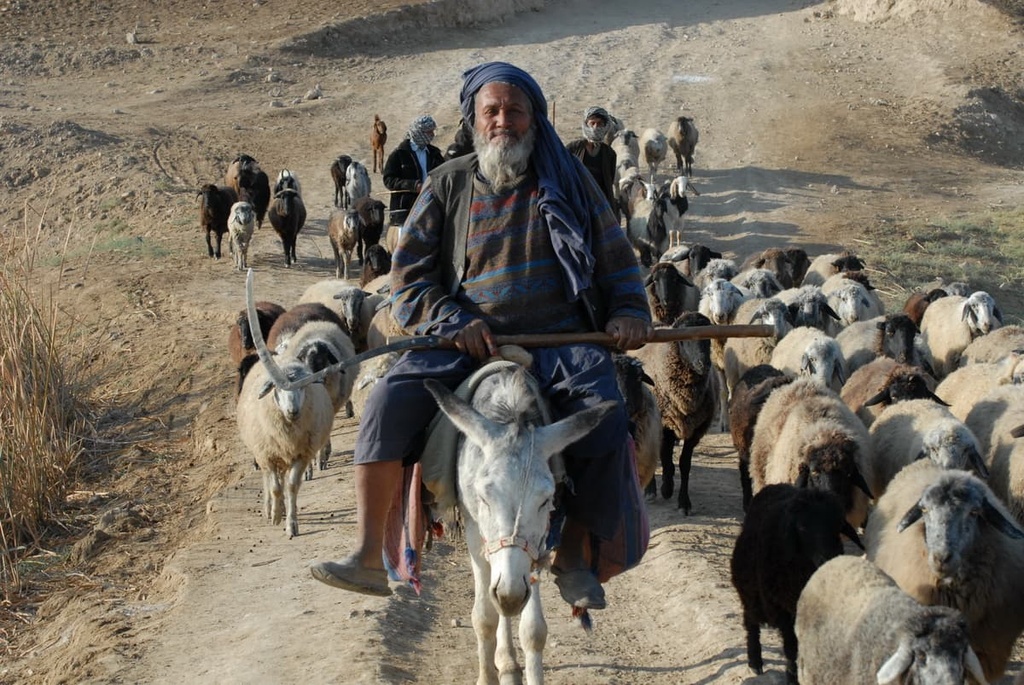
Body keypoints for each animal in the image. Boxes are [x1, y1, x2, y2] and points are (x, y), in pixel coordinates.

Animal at [234, 356, 331, 536]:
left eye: (303, 387)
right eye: (278, 388)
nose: (293, 411)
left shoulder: (301, 455)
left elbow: (291, 487)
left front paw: (291, 524)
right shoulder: (268, 456)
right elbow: (275, 489)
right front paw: (276, 515)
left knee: (282, 479)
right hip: (263, 452)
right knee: (269, 480)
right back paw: (270, 507)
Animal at [729, 483, 864, 679]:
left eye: (837, 525)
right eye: (802, 527)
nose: (828, 558)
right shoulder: (785, 611)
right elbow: (792, 649)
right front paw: (793, 677)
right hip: (750, 591)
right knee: (750, 621)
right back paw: (755, 661)